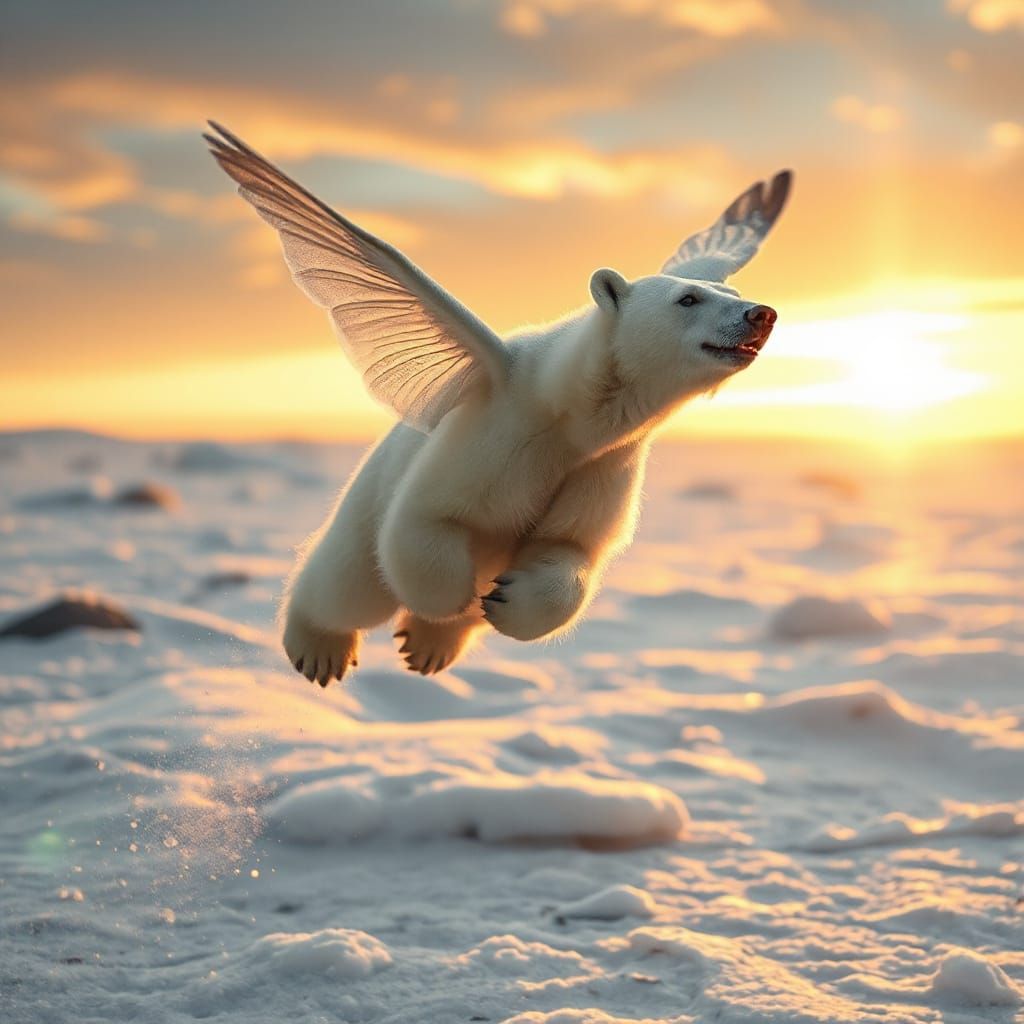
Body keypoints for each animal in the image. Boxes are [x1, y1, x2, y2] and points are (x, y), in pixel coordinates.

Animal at [205, 123, 791, 686]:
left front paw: (497, 602)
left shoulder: (600, 465)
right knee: (348, 582)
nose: (761, 314)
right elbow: (425, 524)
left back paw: (431, 648)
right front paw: (448, 605)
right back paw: (321, 648)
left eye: (731, 293)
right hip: (362, 505)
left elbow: (569, 549)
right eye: (687, 299)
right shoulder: (498, 429)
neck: (570, 411)